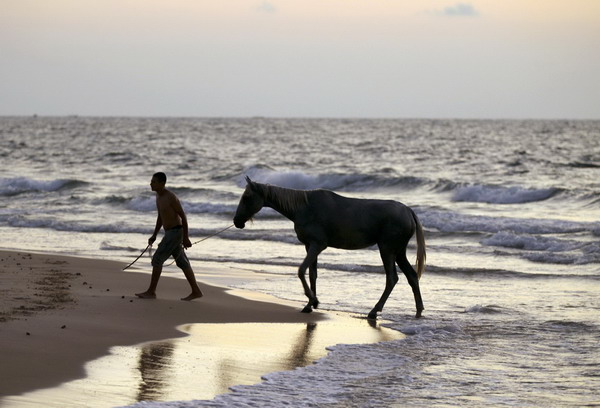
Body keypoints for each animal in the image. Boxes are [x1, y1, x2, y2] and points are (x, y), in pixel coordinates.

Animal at [232, 175, 424, 318]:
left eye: (247, 198)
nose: (237, 221)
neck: (304, 207)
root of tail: (408, 211)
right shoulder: (309, 246)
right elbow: (312, 274)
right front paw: (310, 304)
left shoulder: (317, 245)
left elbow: (301, 270)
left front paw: (313, 301)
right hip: (398, 252)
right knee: (412, 276)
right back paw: (419, 310)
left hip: (387, 250)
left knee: (392, 279)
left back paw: (374, 311)